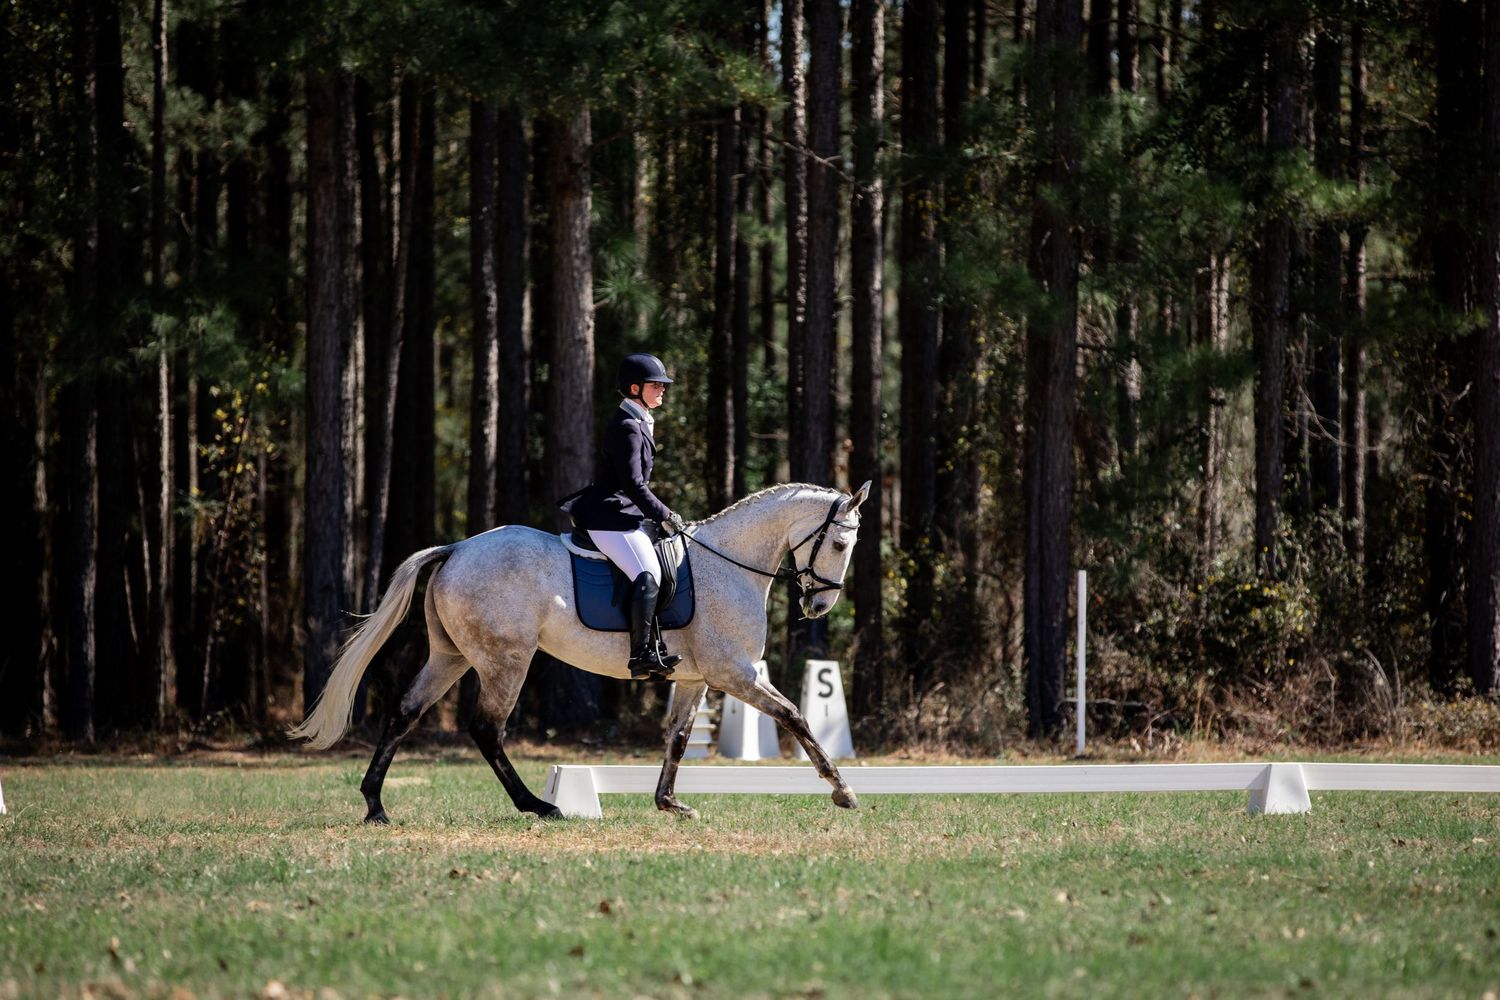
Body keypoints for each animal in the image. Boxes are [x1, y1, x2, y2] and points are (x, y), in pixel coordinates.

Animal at [290, 480, 872, 822]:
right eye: (840, 544)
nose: (820, 604)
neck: (727, 563)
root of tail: (456, 549)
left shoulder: (696, 679)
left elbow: (679, 739)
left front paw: (669, 803)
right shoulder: (737, 674)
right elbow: (796, 717)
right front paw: (843, 791)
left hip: (451, 657)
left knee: (405, 712)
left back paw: (375, 806)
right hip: (506, 661)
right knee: (487, 729)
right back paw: (538, 805)